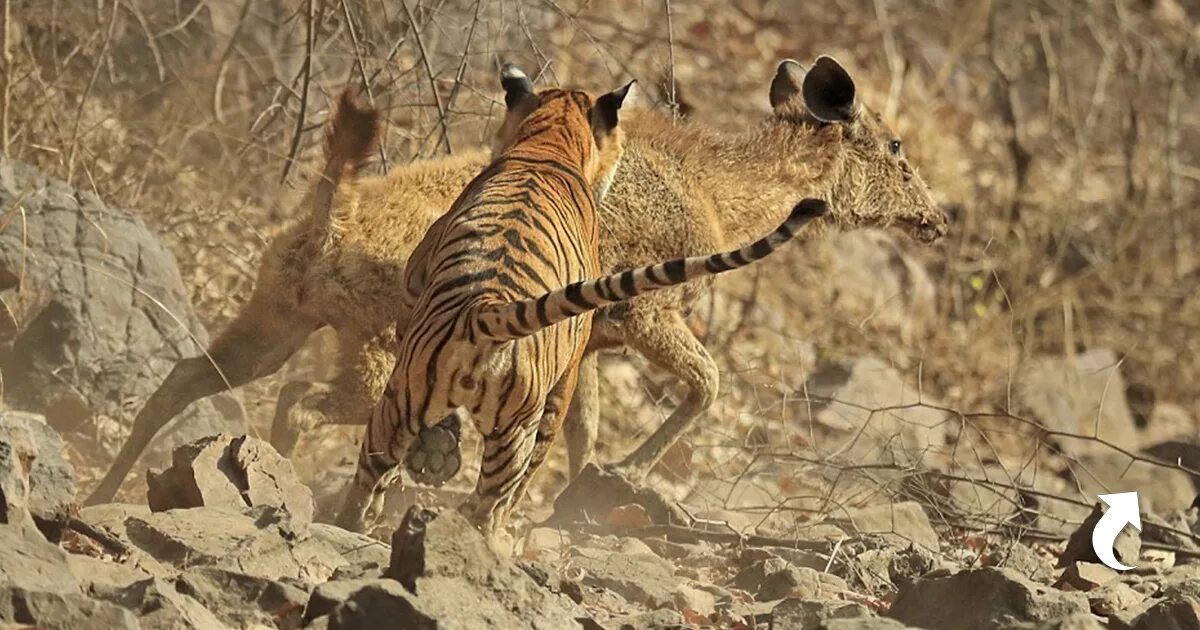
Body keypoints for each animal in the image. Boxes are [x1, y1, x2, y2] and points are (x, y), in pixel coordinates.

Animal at [333, 65, 830, 535]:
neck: (549, 142)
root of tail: (484, 311)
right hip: (489, 423)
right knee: (487, 498)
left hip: (408, 404)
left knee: (382, 475)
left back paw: (364, 522)